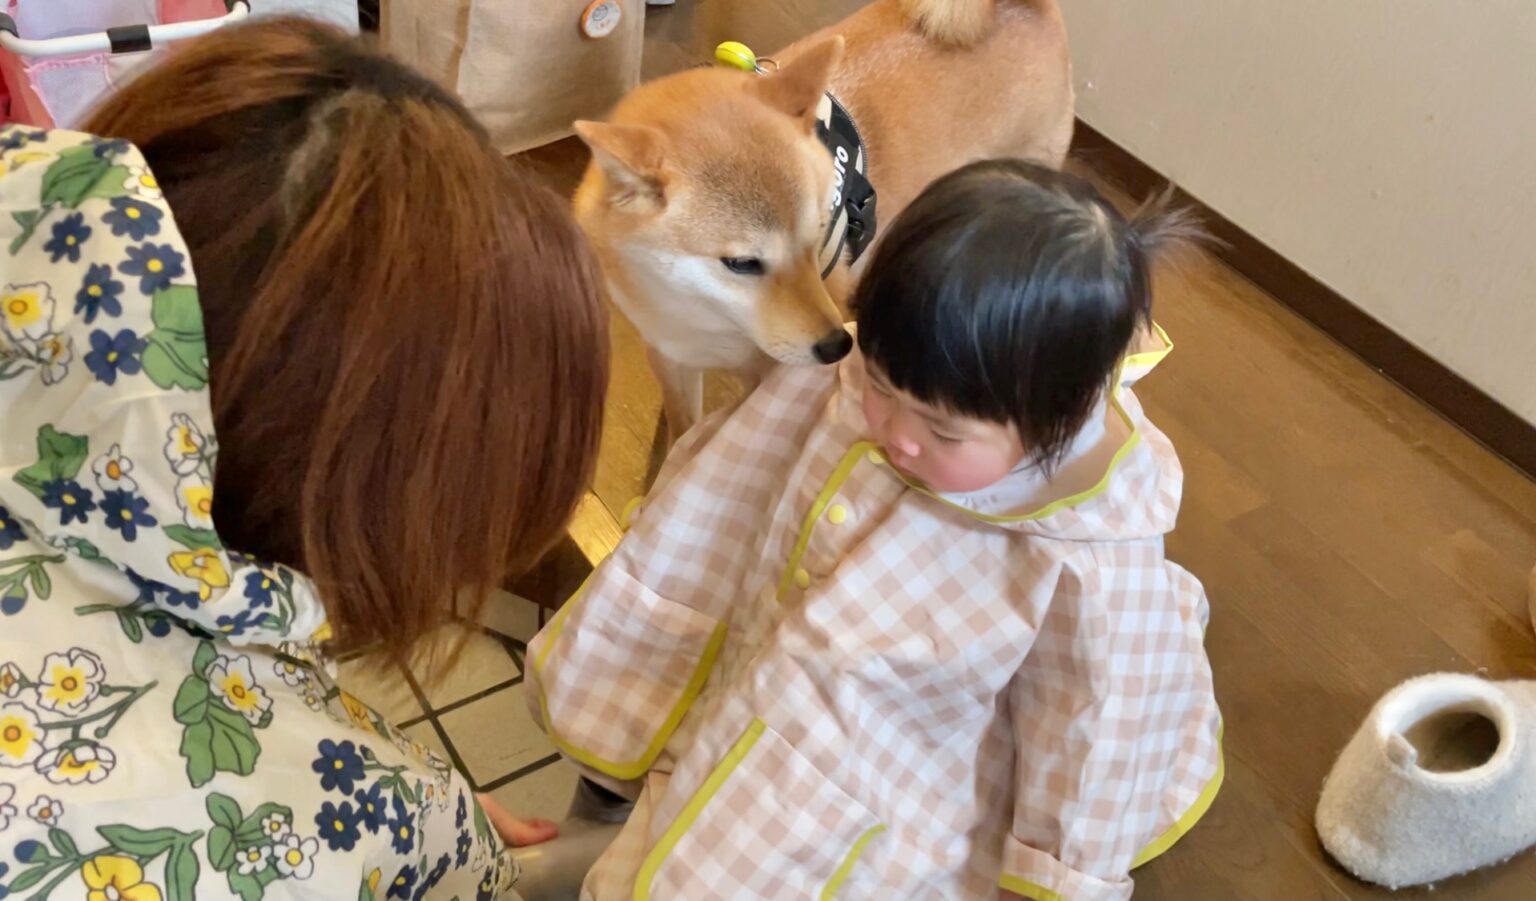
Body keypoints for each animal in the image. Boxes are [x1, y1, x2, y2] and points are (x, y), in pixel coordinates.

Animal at [574, 0, 1069, 435]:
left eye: (819, 235)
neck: (701, 317)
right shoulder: (671, 355)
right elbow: (681, 429)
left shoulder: (763, 377)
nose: (838, 346)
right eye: (743, 264)